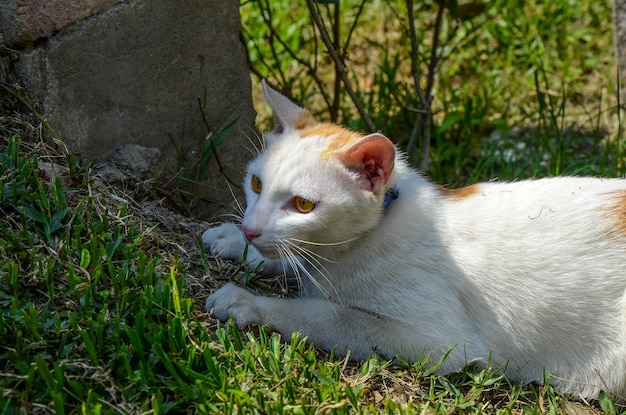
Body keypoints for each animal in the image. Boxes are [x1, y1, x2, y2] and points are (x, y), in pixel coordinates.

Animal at [202, 79, 620, 402]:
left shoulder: (436, 342)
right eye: (256, 184)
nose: (250, 228)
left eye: (304, 205)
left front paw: (247, 302)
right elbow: (292, 260)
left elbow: (327, 315)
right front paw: (233, 241)